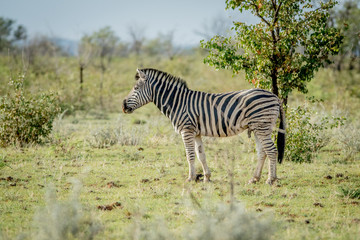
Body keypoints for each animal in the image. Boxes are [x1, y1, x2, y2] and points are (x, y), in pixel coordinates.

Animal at [122, 68, 286, 185]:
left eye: (136, 88)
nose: (123, 106)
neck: (177, 103)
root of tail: (275, 96)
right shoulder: (196, 132)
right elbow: (201, 155)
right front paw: (206, 177)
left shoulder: (186, 130)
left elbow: (190, 155)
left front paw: (190, 178)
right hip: (259, 127)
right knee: (262, 152)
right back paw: (254, 179)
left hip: (262, 126)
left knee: (271, 151)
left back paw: (271, 180)